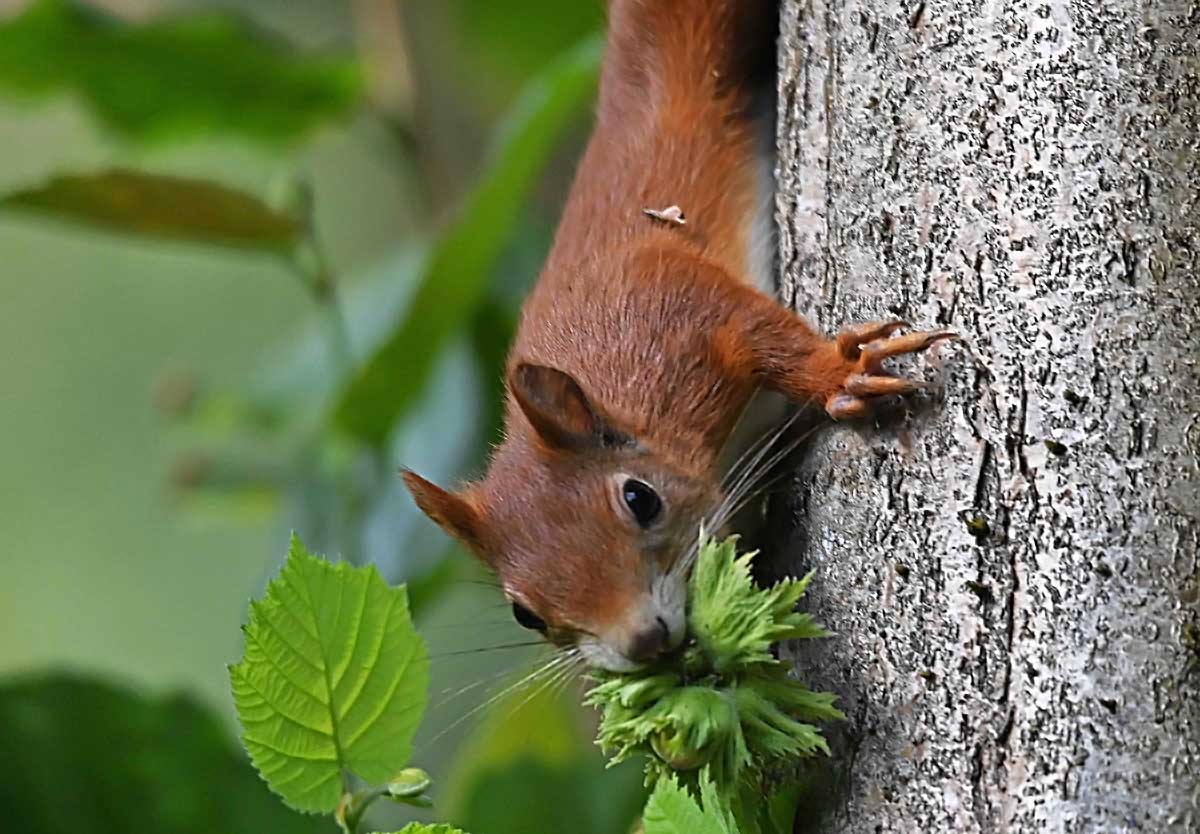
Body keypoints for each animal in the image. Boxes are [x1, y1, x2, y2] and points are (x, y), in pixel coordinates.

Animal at [402, 0, 954, 672]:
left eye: (641, 499)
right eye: (524, 614)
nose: (643, 644)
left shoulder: (674, 308)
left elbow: (759, 330)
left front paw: (838, 375)